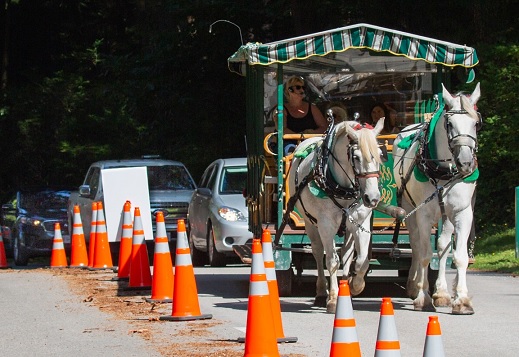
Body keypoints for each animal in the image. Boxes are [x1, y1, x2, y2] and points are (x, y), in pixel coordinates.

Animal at [286, 119, 384, 312]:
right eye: (356, 157)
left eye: (380, 155)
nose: (373, 198)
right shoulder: (326, 225)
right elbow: (331, 261)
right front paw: (332, 298)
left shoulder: (360, 224)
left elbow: (362, 261)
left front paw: (355, 285)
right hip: (310, 223)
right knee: (318, 252)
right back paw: (321, 293)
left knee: (346, 254)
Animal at [394, 82, 484, 312]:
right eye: (449, 124)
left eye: (476, 123)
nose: (465, 163)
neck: (445, 170)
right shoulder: (423, 214)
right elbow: (425, 254)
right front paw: (423, 296)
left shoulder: (462, 212)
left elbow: (458, 256)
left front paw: (461, 299)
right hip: (409, 209)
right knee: (417, 245)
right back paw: (415, 285)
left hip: (445, 215)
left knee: (442, 247)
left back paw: (441, 293)